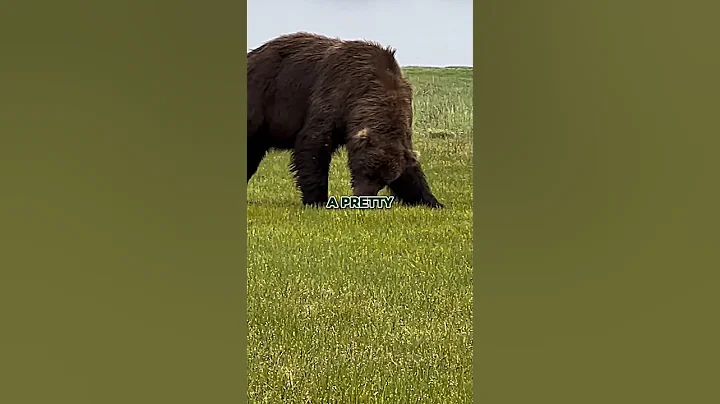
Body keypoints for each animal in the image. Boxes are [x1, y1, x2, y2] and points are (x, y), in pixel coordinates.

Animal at [247, 32, 443, 209]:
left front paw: (431, 201)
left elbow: (411, 171)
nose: (364, 199)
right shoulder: (333, 94)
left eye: (383, 181)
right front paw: (317, 200)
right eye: (366, 171)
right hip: (262, 98)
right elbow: (314, 145)